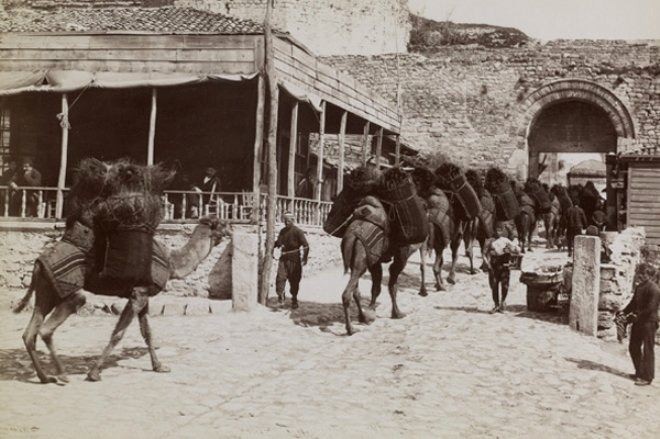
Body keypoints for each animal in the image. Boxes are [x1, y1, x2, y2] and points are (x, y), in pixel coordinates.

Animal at [12, 217, 231, 384]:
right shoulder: (138, 294)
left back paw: (45, 377)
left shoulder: (142, 294)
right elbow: (118, 334)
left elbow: (147, 333)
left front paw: (159, 366)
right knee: (50, 325)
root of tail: (39, 261)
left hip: (46, 290)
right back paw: (63, 375)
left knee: (29, 332)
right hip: (66, 290)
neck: (171, 261)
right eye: (222, 223)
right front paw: (93, 373)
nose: (231, 230)